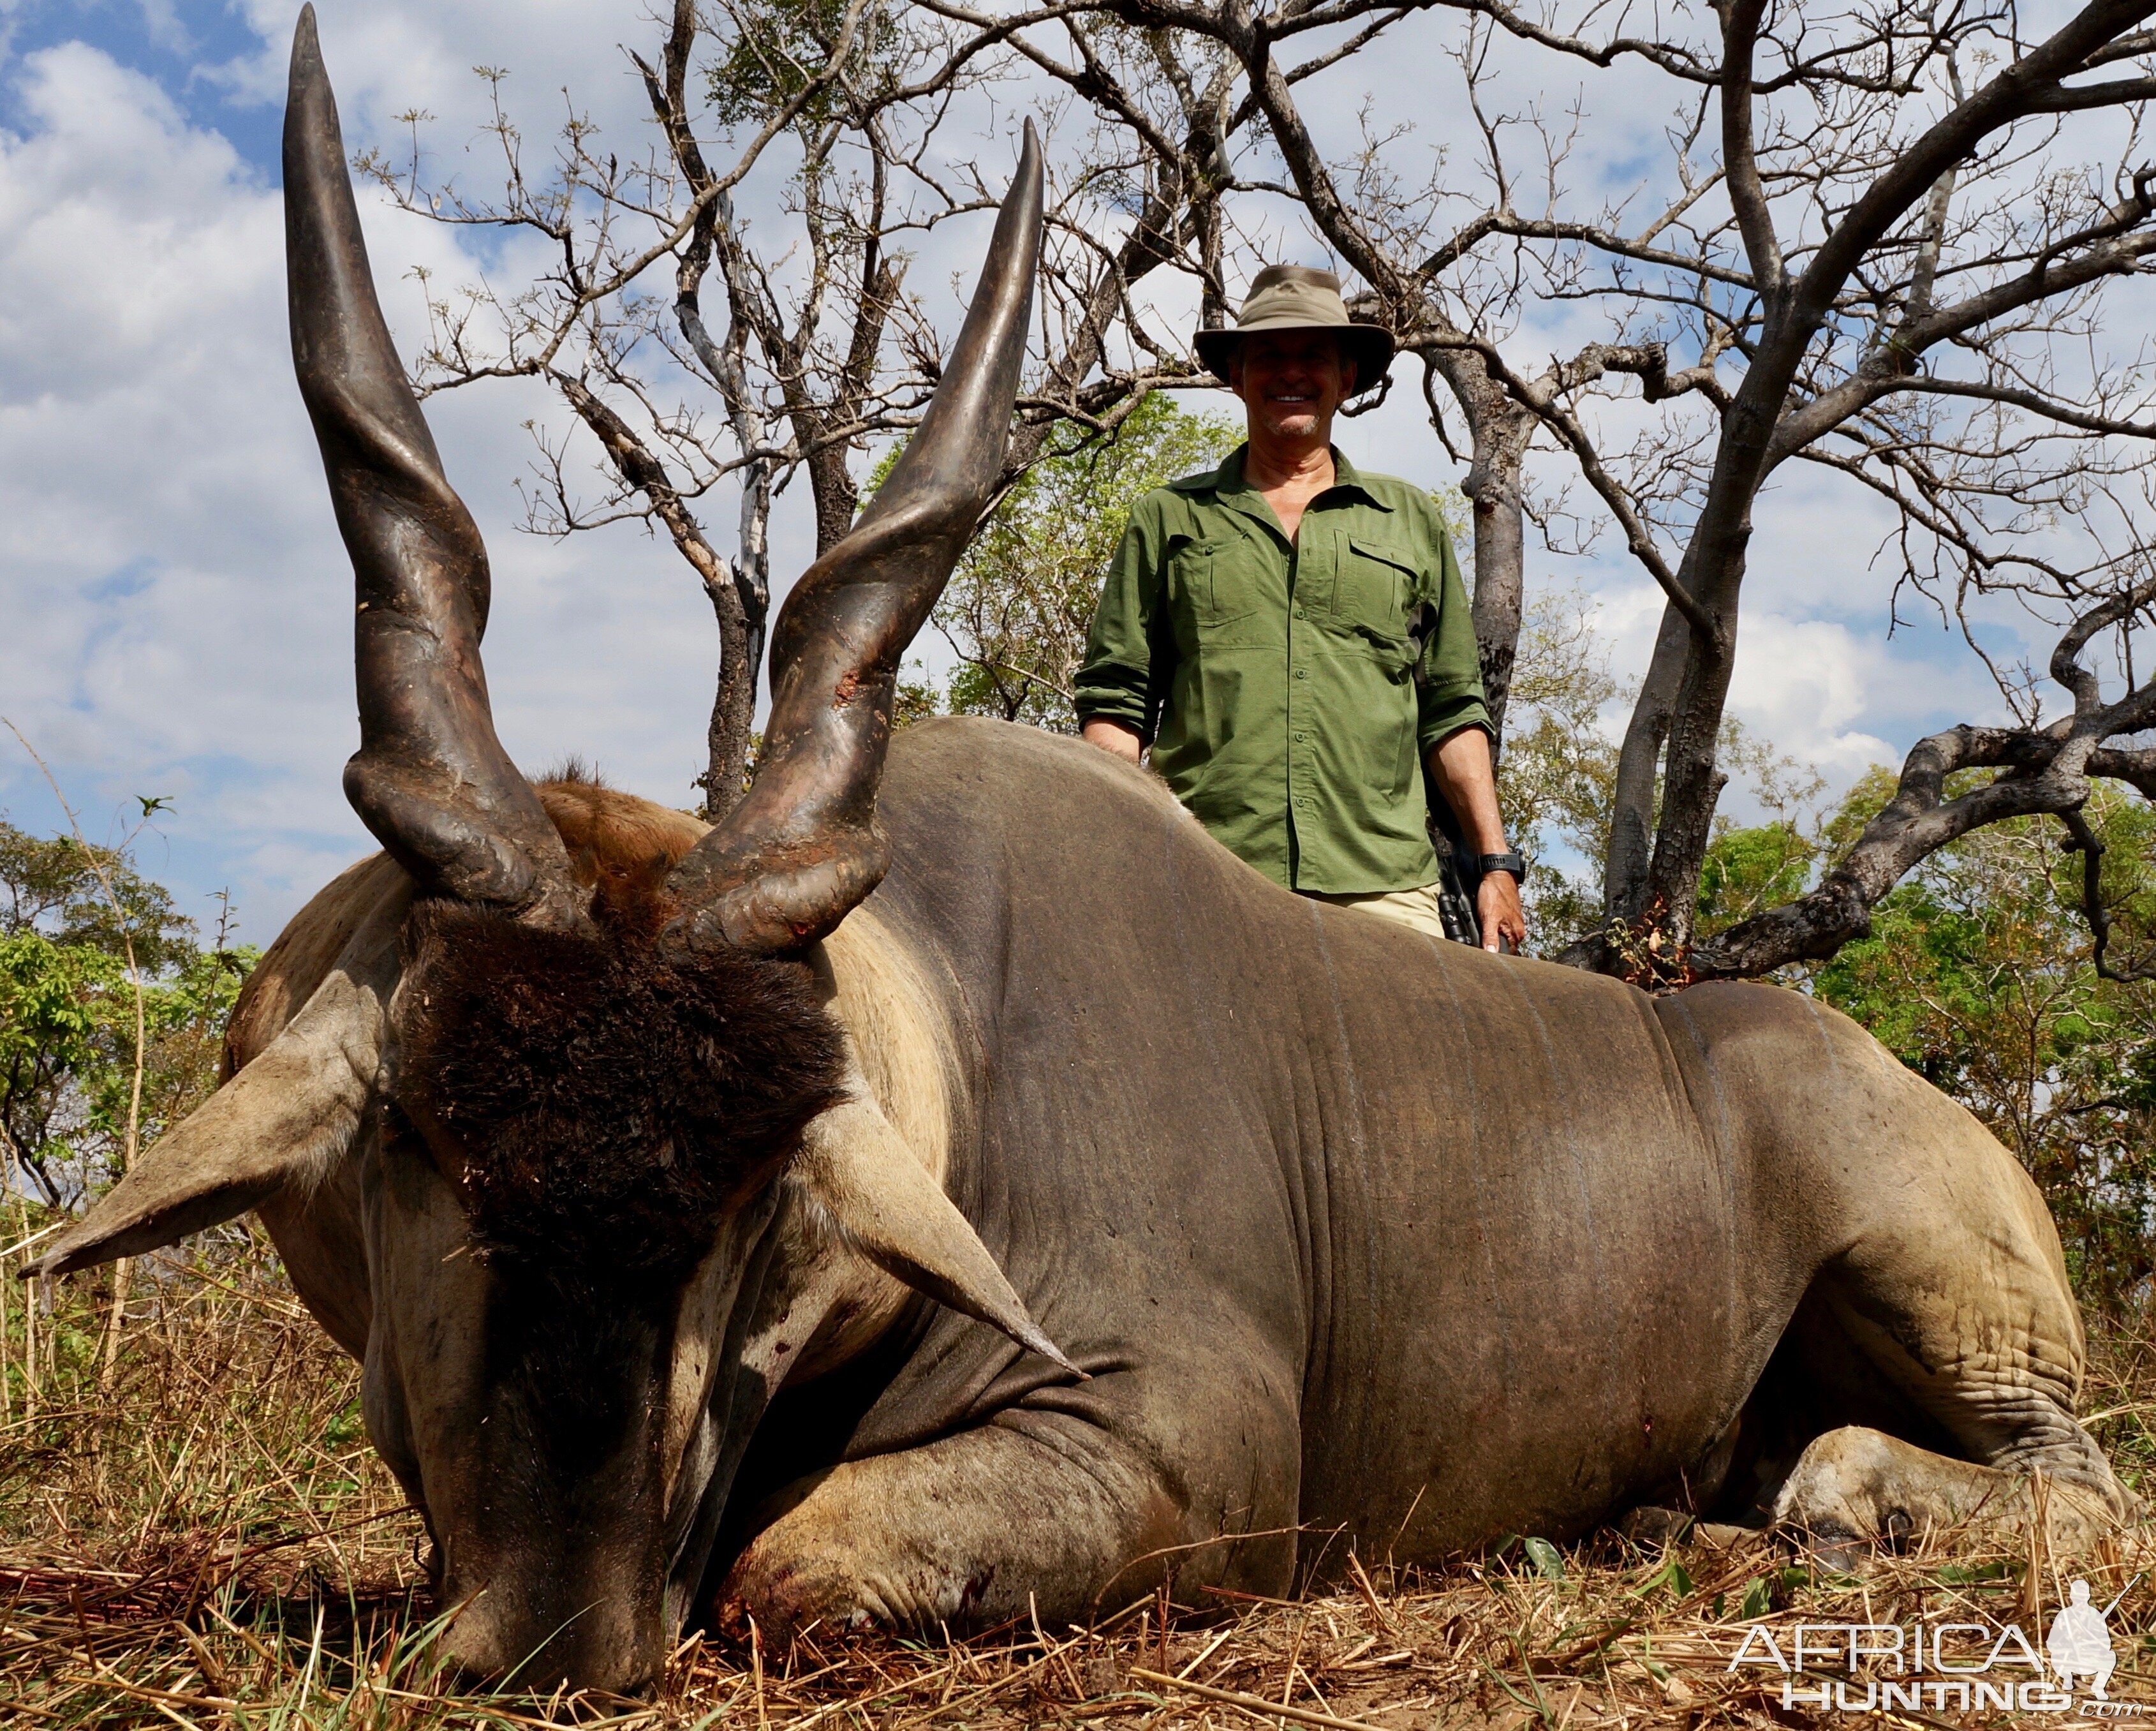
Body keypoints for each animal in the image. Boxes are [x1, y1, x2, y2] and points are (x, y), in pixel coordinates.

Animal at [29, 6, 2138, 1698]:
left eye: (762, 1200)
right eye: (417, 1147)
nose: (556, 1632)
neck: (954, 1041)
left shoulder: (1167, 1449)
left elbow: (788, 1568)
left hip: (1949, 1299)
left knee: (2056, 1481)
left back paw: (1807, 1505)